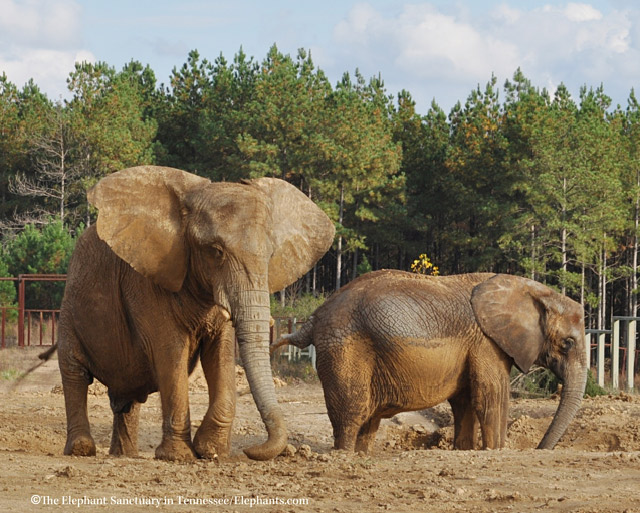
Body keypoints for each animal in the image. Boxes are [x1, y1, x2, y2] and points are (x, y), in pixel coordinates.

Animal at [58, 164, 336, 460]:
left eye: (271, 255)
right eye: (215, 251)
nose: (250, 449)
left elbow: (222, 352)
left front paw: (211, 450)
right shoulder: (147, 281)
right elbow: (170, 353)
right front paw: (178, 456)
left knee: (127, 399)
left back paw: (125, 455)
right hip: (69, 308)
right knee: (74, 374)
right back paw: (81, 449)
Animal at [272, 270, 588, 450]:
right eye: (568, 343)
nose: (538, 449)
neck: (531, 289)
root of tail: (314, 318)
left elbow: (465, 401)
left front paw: (464, 451)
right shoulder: (486, 342)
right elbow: (490, 397)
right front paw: (496, 451)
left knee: (368, 420)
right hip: (345, 349)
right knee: (352, 412)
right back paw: (344, 456)